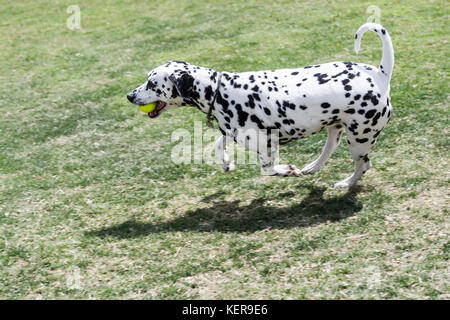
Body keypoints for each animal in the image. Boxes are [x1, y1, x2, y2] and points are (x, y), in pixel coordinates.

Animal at [126, 23, 394, 188]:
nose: (129, 96)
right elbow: (218, 145)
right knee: (329, 149)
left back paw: (346, 183)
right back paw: (312, 168)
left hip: (359, 139)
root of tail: (379, 74)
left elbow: (269, 169)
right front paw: (227, 163)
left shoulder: (266, 144)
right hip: (336, 129)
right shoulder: (232, 134)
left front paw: (287, 170)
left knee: (364, 165)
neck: (219, 91)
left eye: (151, 83)